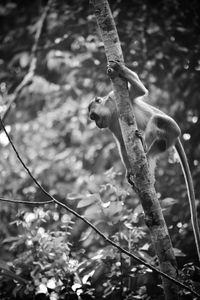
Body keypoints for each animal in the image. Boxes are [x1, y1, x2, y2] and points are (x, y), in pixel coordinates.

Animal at [88, 60, 200, 260]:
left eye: (93, 116)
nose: (96, 124)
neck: (112, 112)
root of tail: (178, 137)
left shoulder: (114, 98)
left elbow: (140, 91)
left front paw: (120, 70)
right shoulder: (112, 125)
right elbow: (122, 145)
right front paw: (129, 172)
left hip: (173, 128)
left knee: (156, 120)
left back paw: (145, 142)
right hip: (168, 140)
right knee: (157, 149)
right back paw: (147, 161)